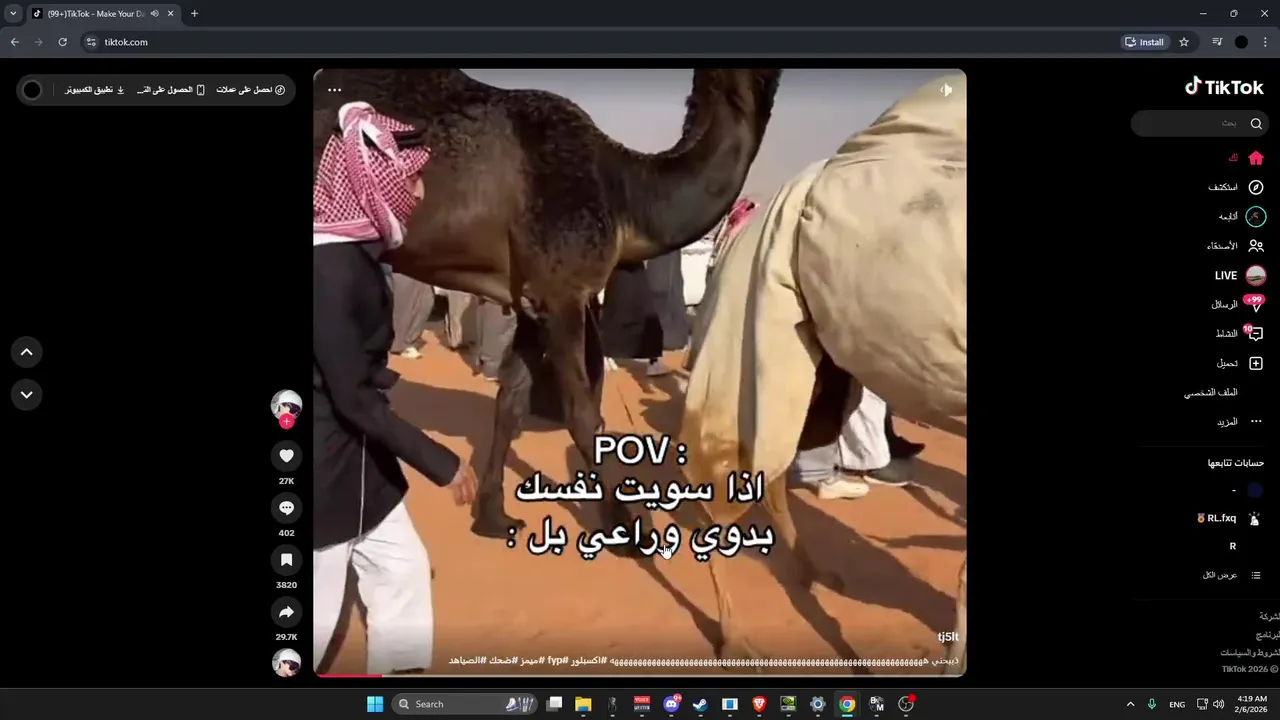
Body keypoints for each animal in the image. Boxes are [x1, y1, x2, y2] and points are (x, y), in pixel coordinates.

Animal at [313, 69, 781, 538]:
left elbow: (512, 402)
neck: (625, 194)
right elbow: (584, 412)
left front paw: (492, 516)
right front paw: (628, 527)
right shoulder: (561, 292)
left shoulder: (528, 297)